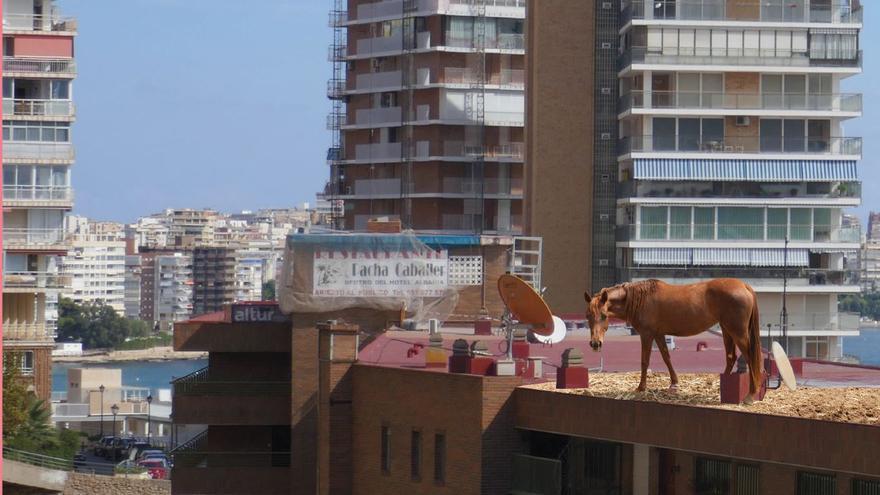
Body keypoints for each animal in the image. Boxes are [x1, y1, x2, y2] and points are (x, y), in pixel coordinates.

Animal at [584, 280, 764, 404]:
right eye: (588, 315)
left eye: (604, 316)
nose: (595, 344)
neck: (641, 299)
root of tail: (744, 286)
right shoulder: (659, 334)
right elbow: (666, 357)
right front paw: (674, 384)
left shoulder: (647, 335)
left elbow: (645, 361)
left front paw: (641, 387)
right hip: (727, 330)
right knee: (731, 357)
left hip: (738, 333)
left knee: (750, 358)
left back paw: (750, 395)